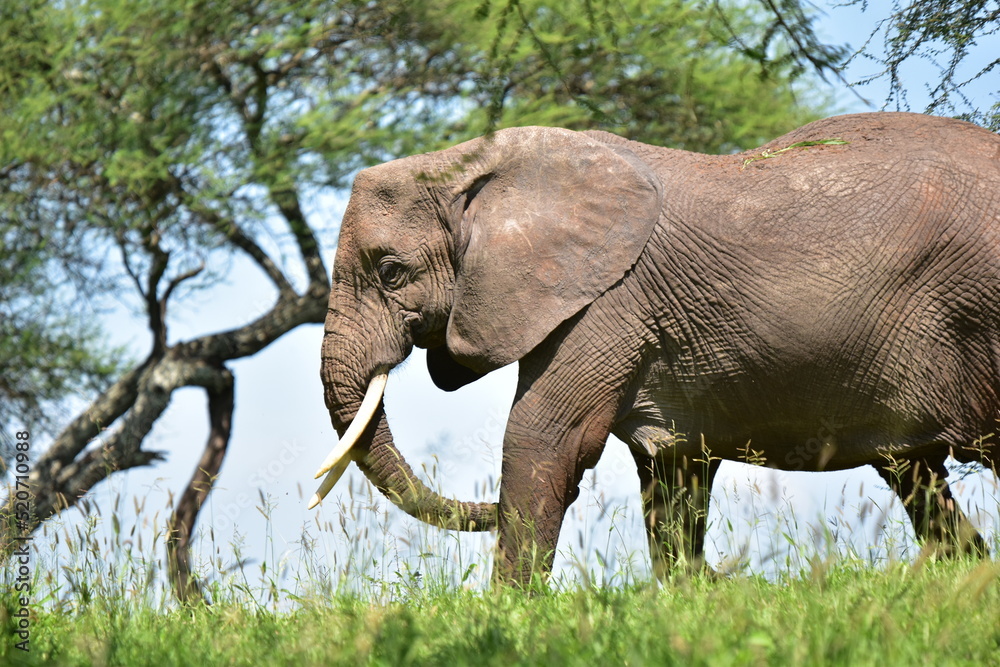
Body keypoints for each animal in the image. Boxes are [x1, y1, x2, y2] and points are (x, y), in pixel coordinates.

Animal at [312, 112, 1000, 586]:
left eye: (391, 272)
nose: (736, 579)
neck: (474, 164)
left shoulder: (605, 302)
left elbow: (542, 440)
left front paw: (509, 615)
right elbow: (673, 471)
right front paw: (694, 595)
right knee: (915, 477)